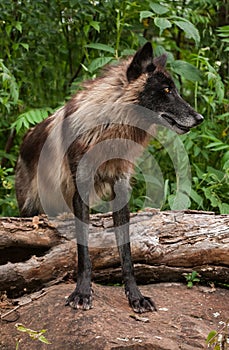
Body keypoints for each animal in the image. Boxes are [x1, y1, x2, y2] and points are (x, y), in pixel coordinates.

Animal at [15, 42, 203, 314]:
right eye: (167, 90)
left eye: (176, 90)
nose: (199, 118)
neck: (110, 128)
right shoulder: (80, 188)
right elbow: (84, 252)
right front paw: (82, 293)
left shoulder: (121, 188)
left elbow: (126, 253)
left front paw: (135, 296)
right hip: (29, 210)